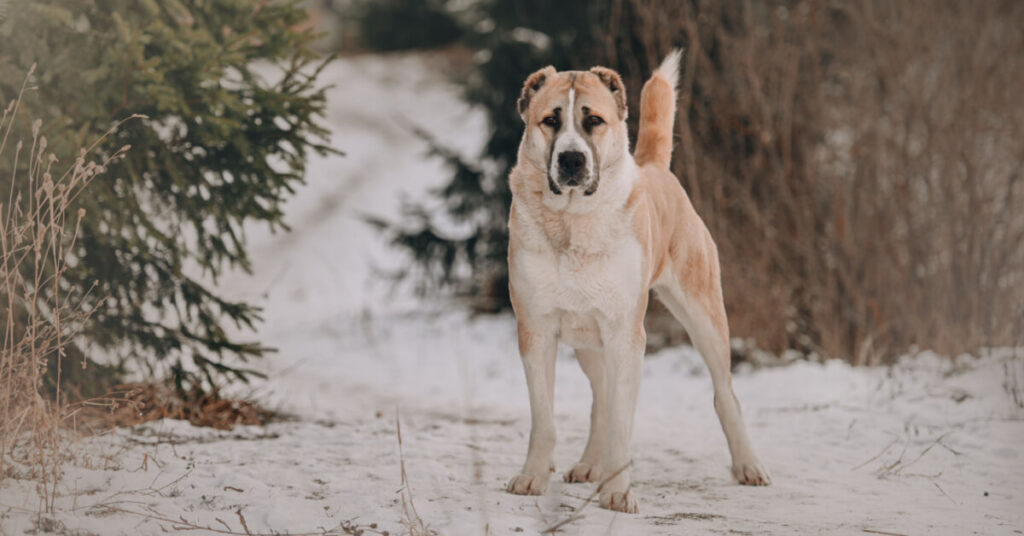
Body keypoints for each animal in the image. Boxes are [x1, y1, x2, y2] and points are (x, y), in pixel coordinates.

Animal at [503, 51, 774, 516]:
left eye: (593, 120)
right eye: (550, 120)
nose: (571, 160)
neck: (573, 223)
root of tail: (656, 168)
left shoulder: (626, 336)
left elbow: (622, 421)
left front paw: (616, 491)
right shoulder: (535, 330)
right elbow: (545, 418)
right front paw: (533, 477)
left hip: (703, 316)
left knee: (725, 394)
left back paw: (748, 466)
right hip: (587, 340)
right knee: (601, 399)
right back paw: (588, 465)